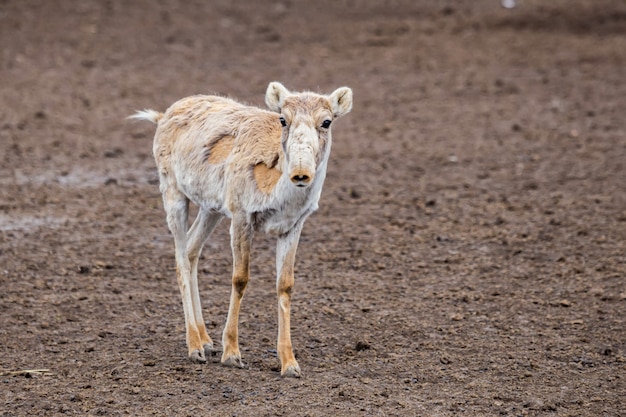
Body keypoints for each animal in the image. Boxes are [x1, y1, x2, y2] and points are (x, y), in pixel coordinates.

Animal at [130, 79, 352, 376]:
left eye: (326, 121)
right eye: (283, 119)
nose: (301, 174)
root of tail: (163, 115)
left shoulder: (293, 226)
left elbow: (285, 285)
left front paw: (289, 363)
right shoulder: (241, 217)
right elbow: (240, 278)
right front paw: (232, 353)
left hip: (210, 209)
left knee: (192, 250)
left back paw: (206, 340)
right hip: (173, 194)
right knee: (180, 258)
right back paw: (195, 347)